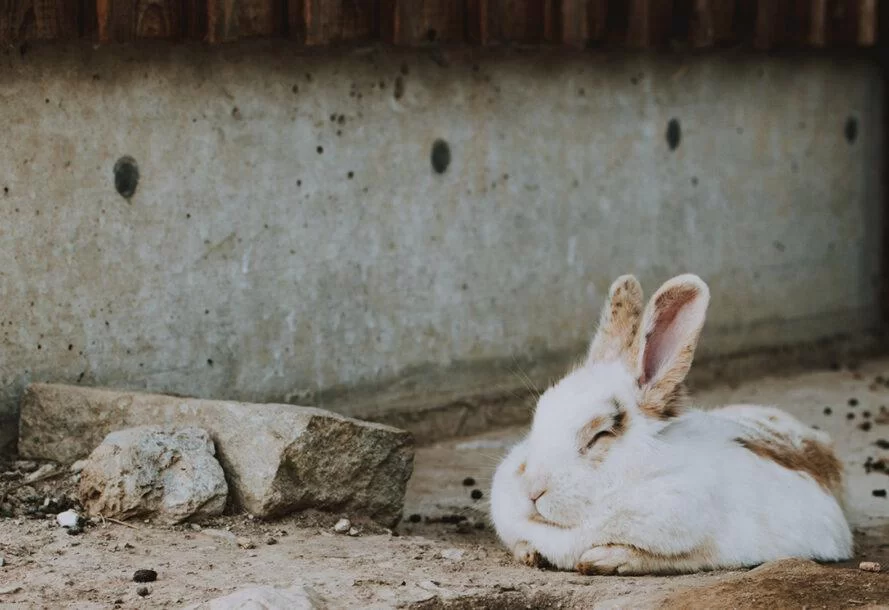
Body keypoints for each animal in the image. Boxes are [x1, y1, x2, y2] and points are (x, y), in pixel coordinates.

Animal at [490, 273, 852, 575]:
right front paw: (529, 553)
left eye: (599, 435)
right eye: (539, 416)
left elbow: (672, 556)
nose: (531, 490)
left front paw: (605, 559)